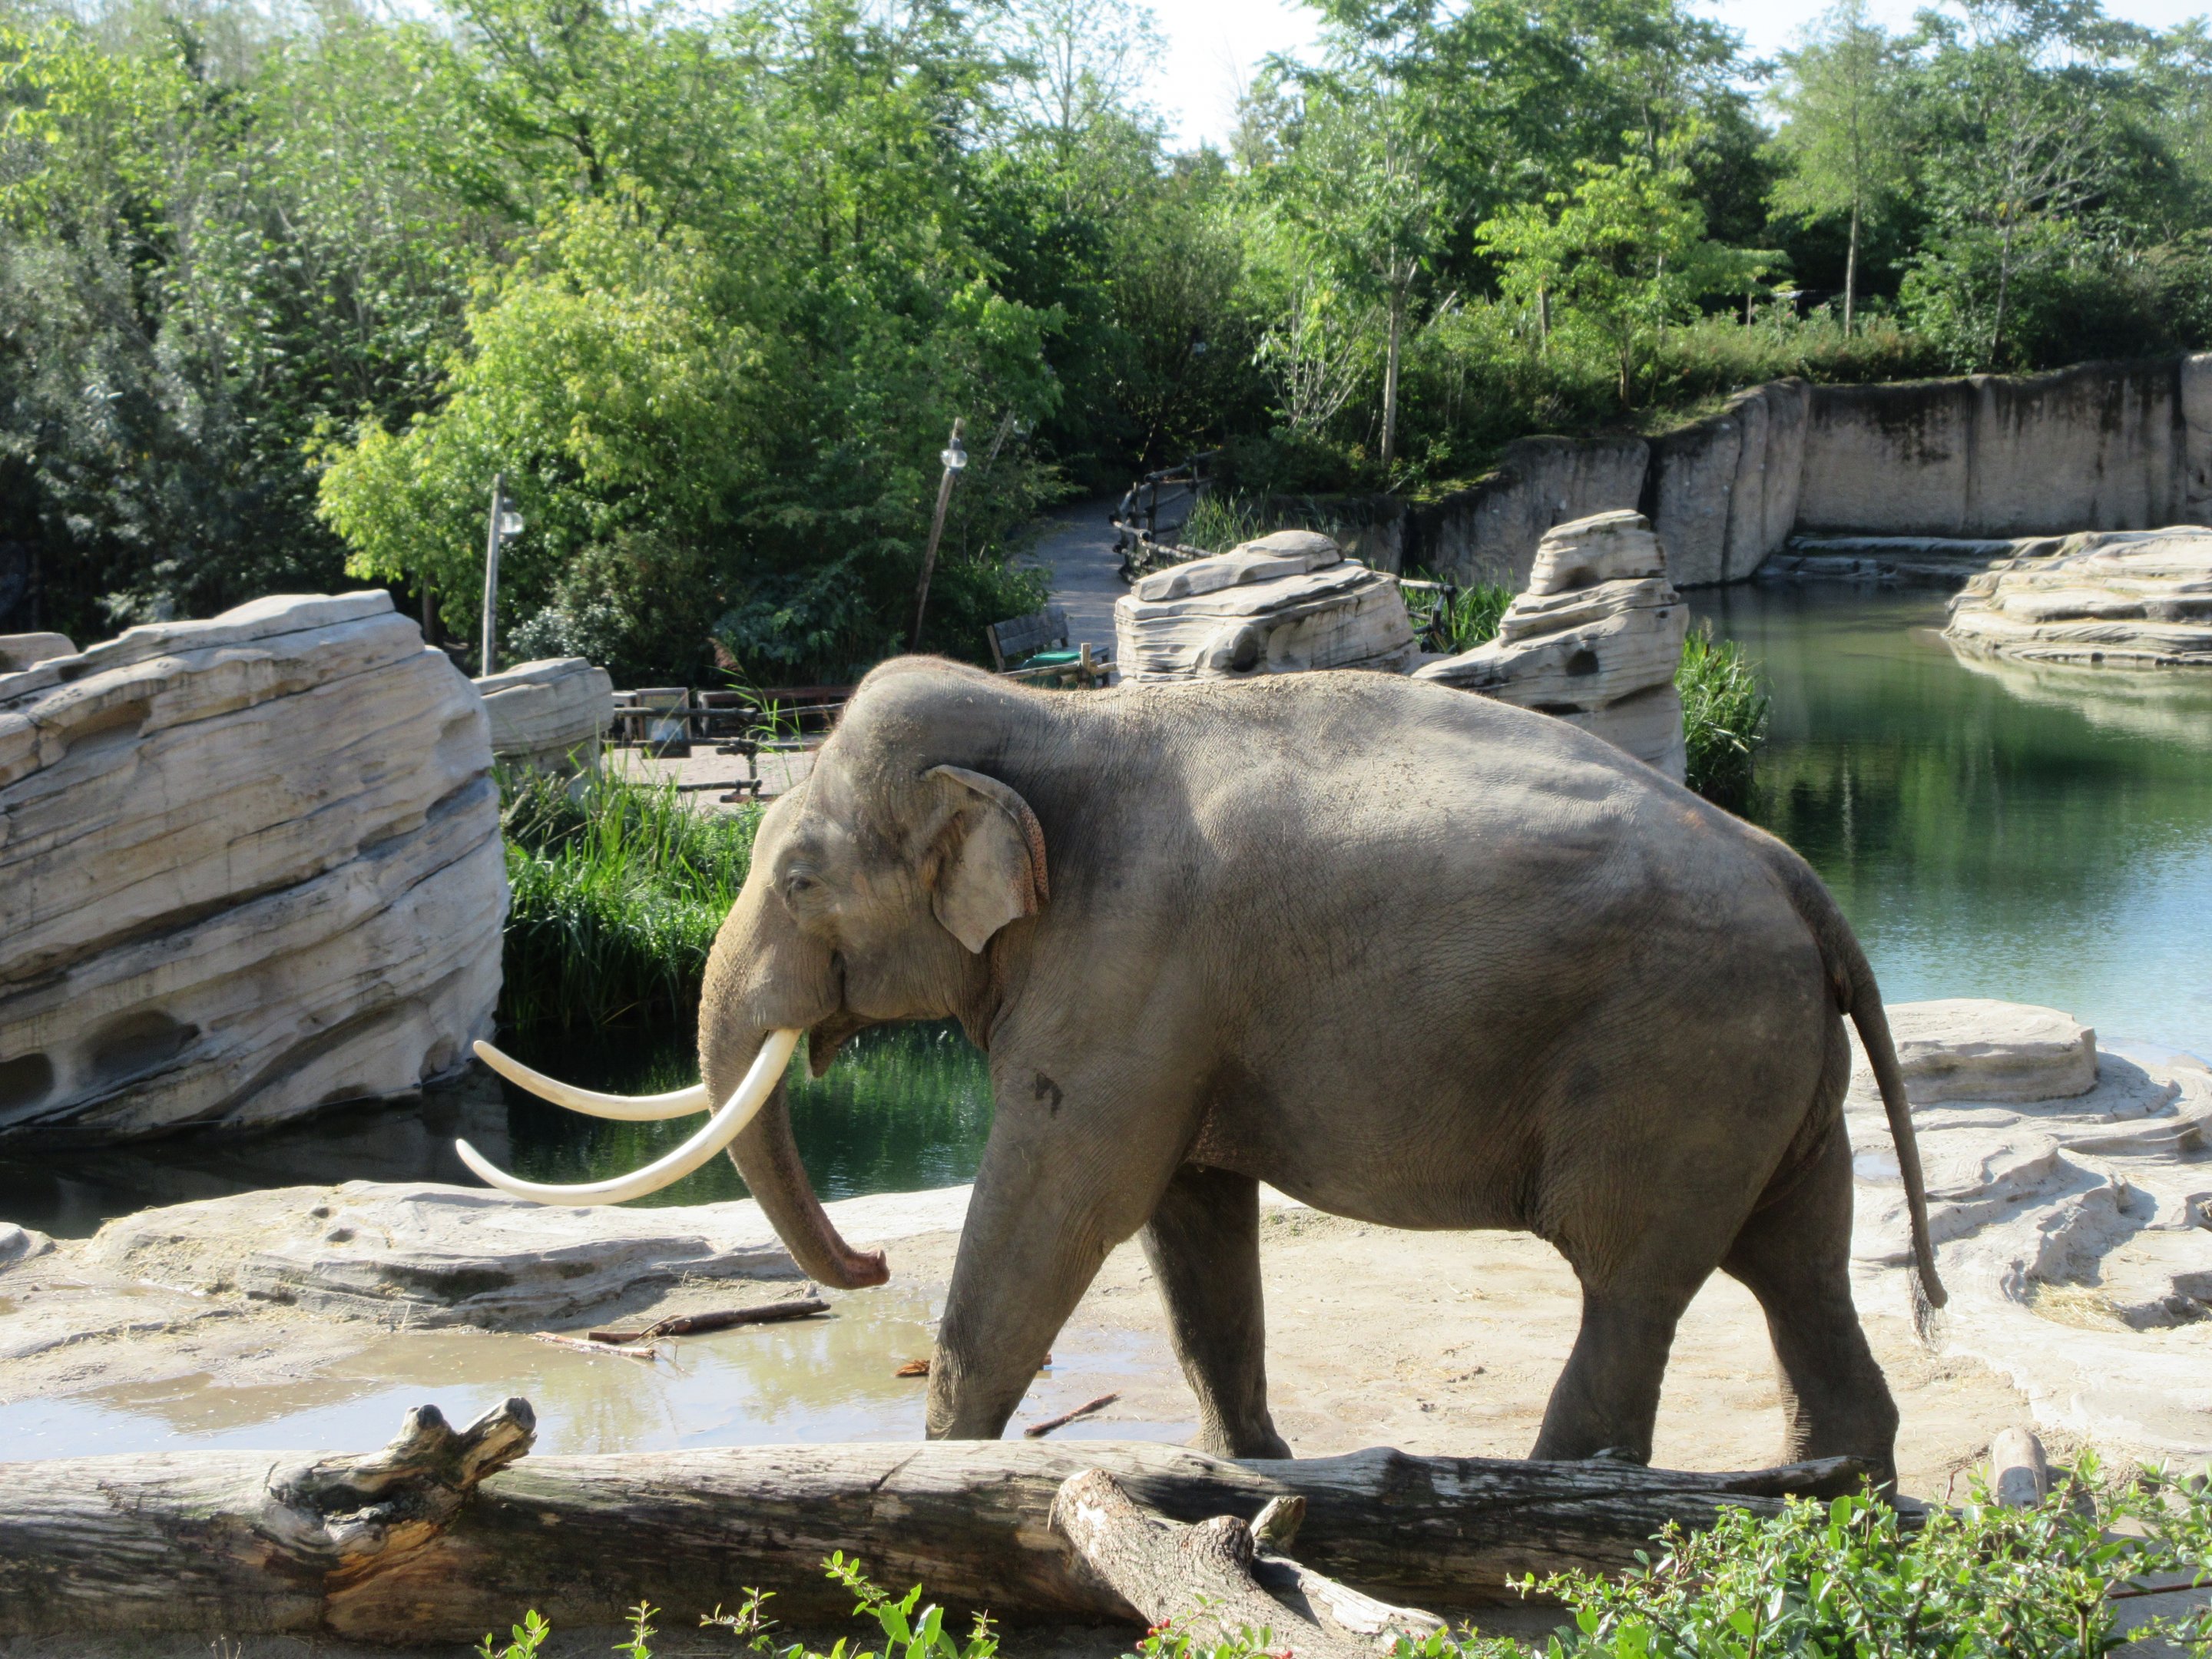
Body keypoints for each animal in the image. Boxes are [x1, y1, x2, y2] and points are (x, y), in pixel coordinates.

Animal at [469, 655, 1945, 1479]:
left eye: (796, 879)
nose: (873, 1264)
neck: (1060, 724)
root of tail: (1800, 877)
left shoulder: (1127, 969)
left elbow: (1065, 1198)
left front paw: (943, 1467)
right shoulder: (1170, 1008)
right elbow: (1188, 1227)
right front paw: (1249, 1470)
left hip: (1675, 1063)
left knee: (1632, 1282)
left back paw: (1559, 1496)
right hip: (1768, 1074)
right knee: (1796, 1265)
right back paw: (1828, 1493)